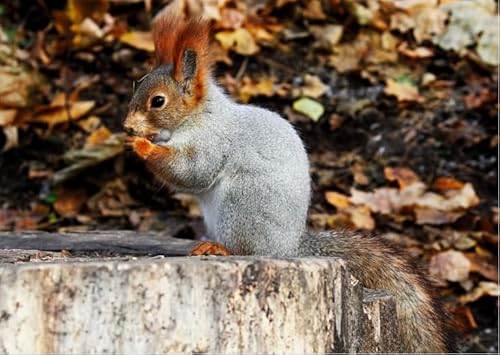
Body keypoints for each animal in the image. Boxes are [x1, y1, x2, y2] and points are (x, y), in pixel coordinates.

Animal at [124, 13, 458, 354]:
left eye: (158, 101)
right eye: (137, 85)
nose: (127, 127)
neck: (197, 117)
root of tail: (291, 247)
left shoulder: (213, 143)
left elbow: (194, 172)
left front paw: (143, 146)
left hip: (241, 208)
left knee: (248, 249)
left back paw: (219, 248)